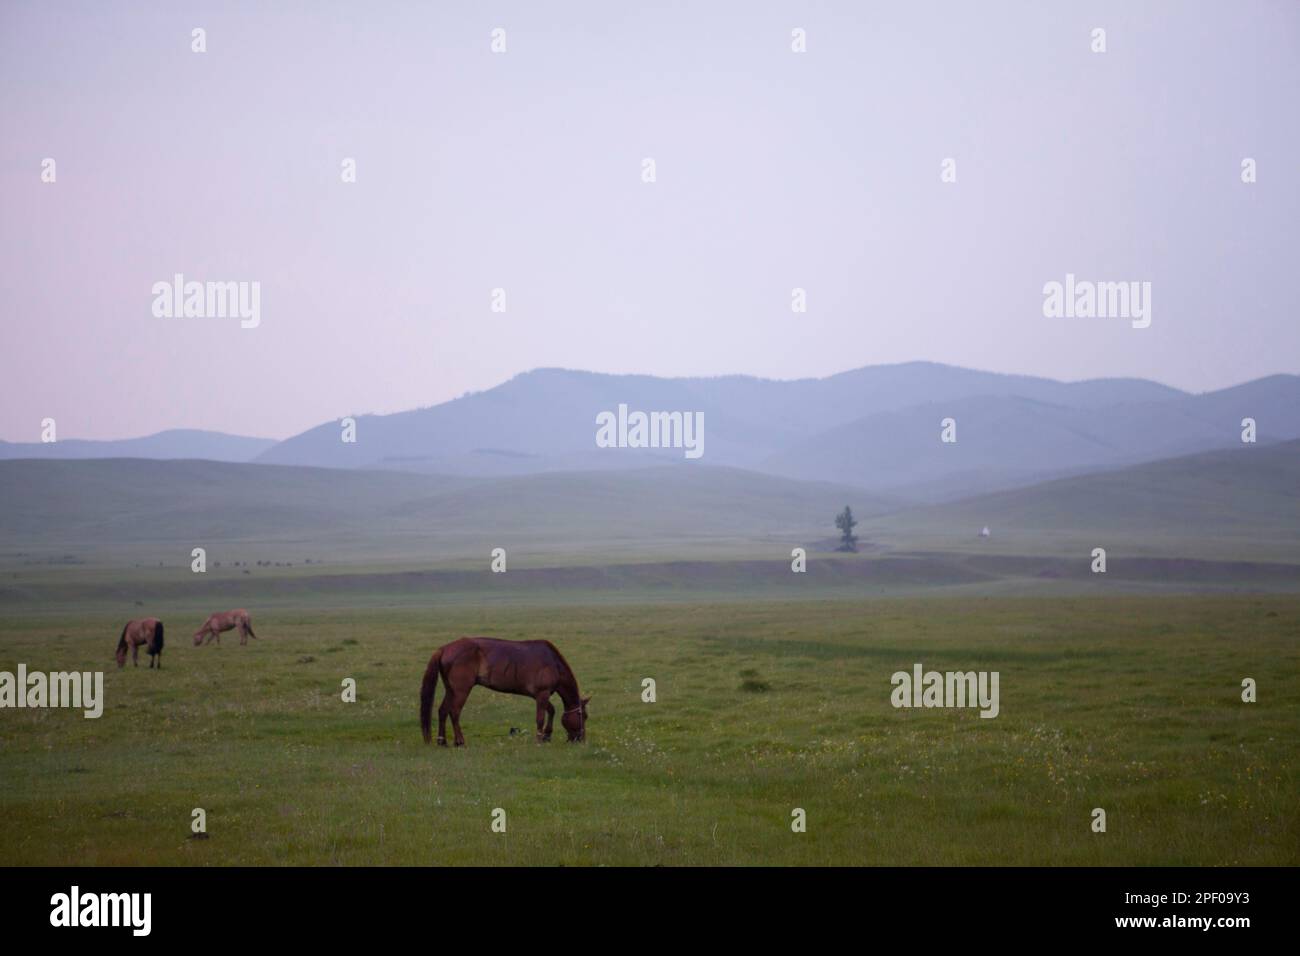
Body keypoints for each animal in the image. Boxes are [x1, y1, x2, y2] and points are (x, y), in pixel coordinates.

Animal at [420, 637, 590, 747]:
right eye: (584, 716)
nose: (581, 739)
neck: (553, 663)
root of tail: (444, 649)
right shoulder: (542, 693)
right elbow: (540, 717)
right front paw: (539, 739)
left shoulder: (539, 695)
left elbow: (552, 710)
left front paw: (547, 735)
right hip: (461, 690)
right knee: (454, 712)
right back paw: (459, 741)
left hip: (451, 689)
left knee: (443, 711)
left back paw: (442, 741)